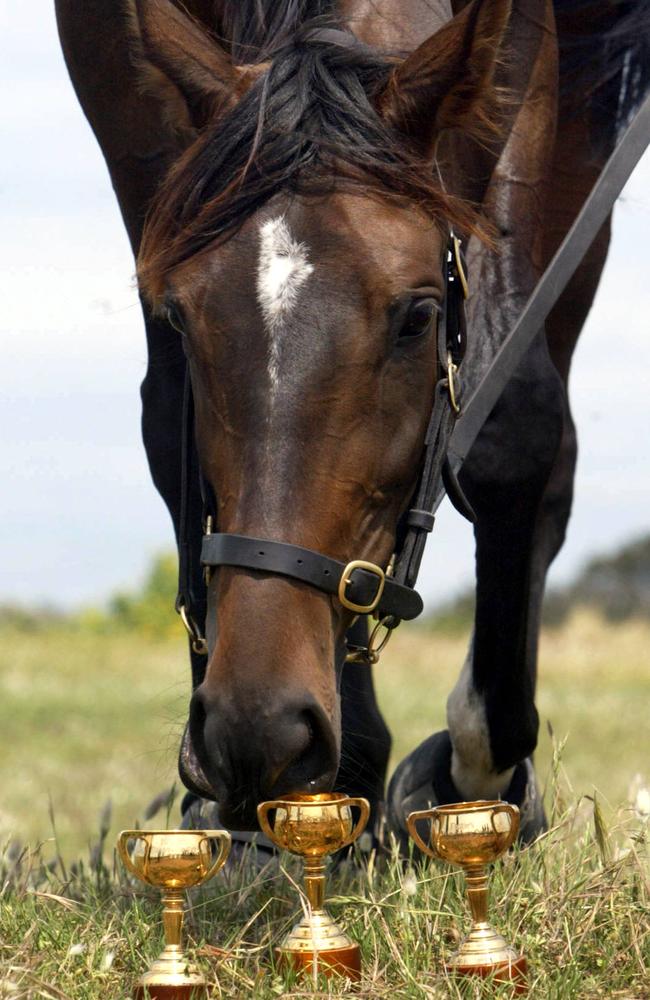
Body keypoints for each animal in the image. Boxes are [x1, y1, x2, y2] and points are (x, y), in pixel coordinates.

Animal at [57, 0, 648, 844]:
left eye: (418, 318)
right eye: (181, 317)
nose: (256, 729)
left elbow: (514, 425)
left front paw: (477, 766)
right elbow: (169, 421)